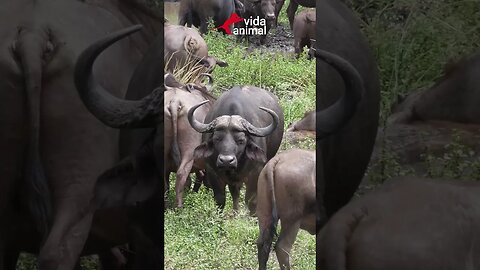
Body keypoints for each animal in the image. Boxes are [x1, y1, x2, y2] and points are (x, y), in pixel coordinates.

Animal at [188, 85, 284, 214]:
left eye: (241, 140)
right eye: (217, 138)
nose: (226, 161)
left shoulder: (255, 173)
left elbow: (251, 200)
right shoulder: (213, 172)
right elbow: (220, 199)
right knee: (235, 192)